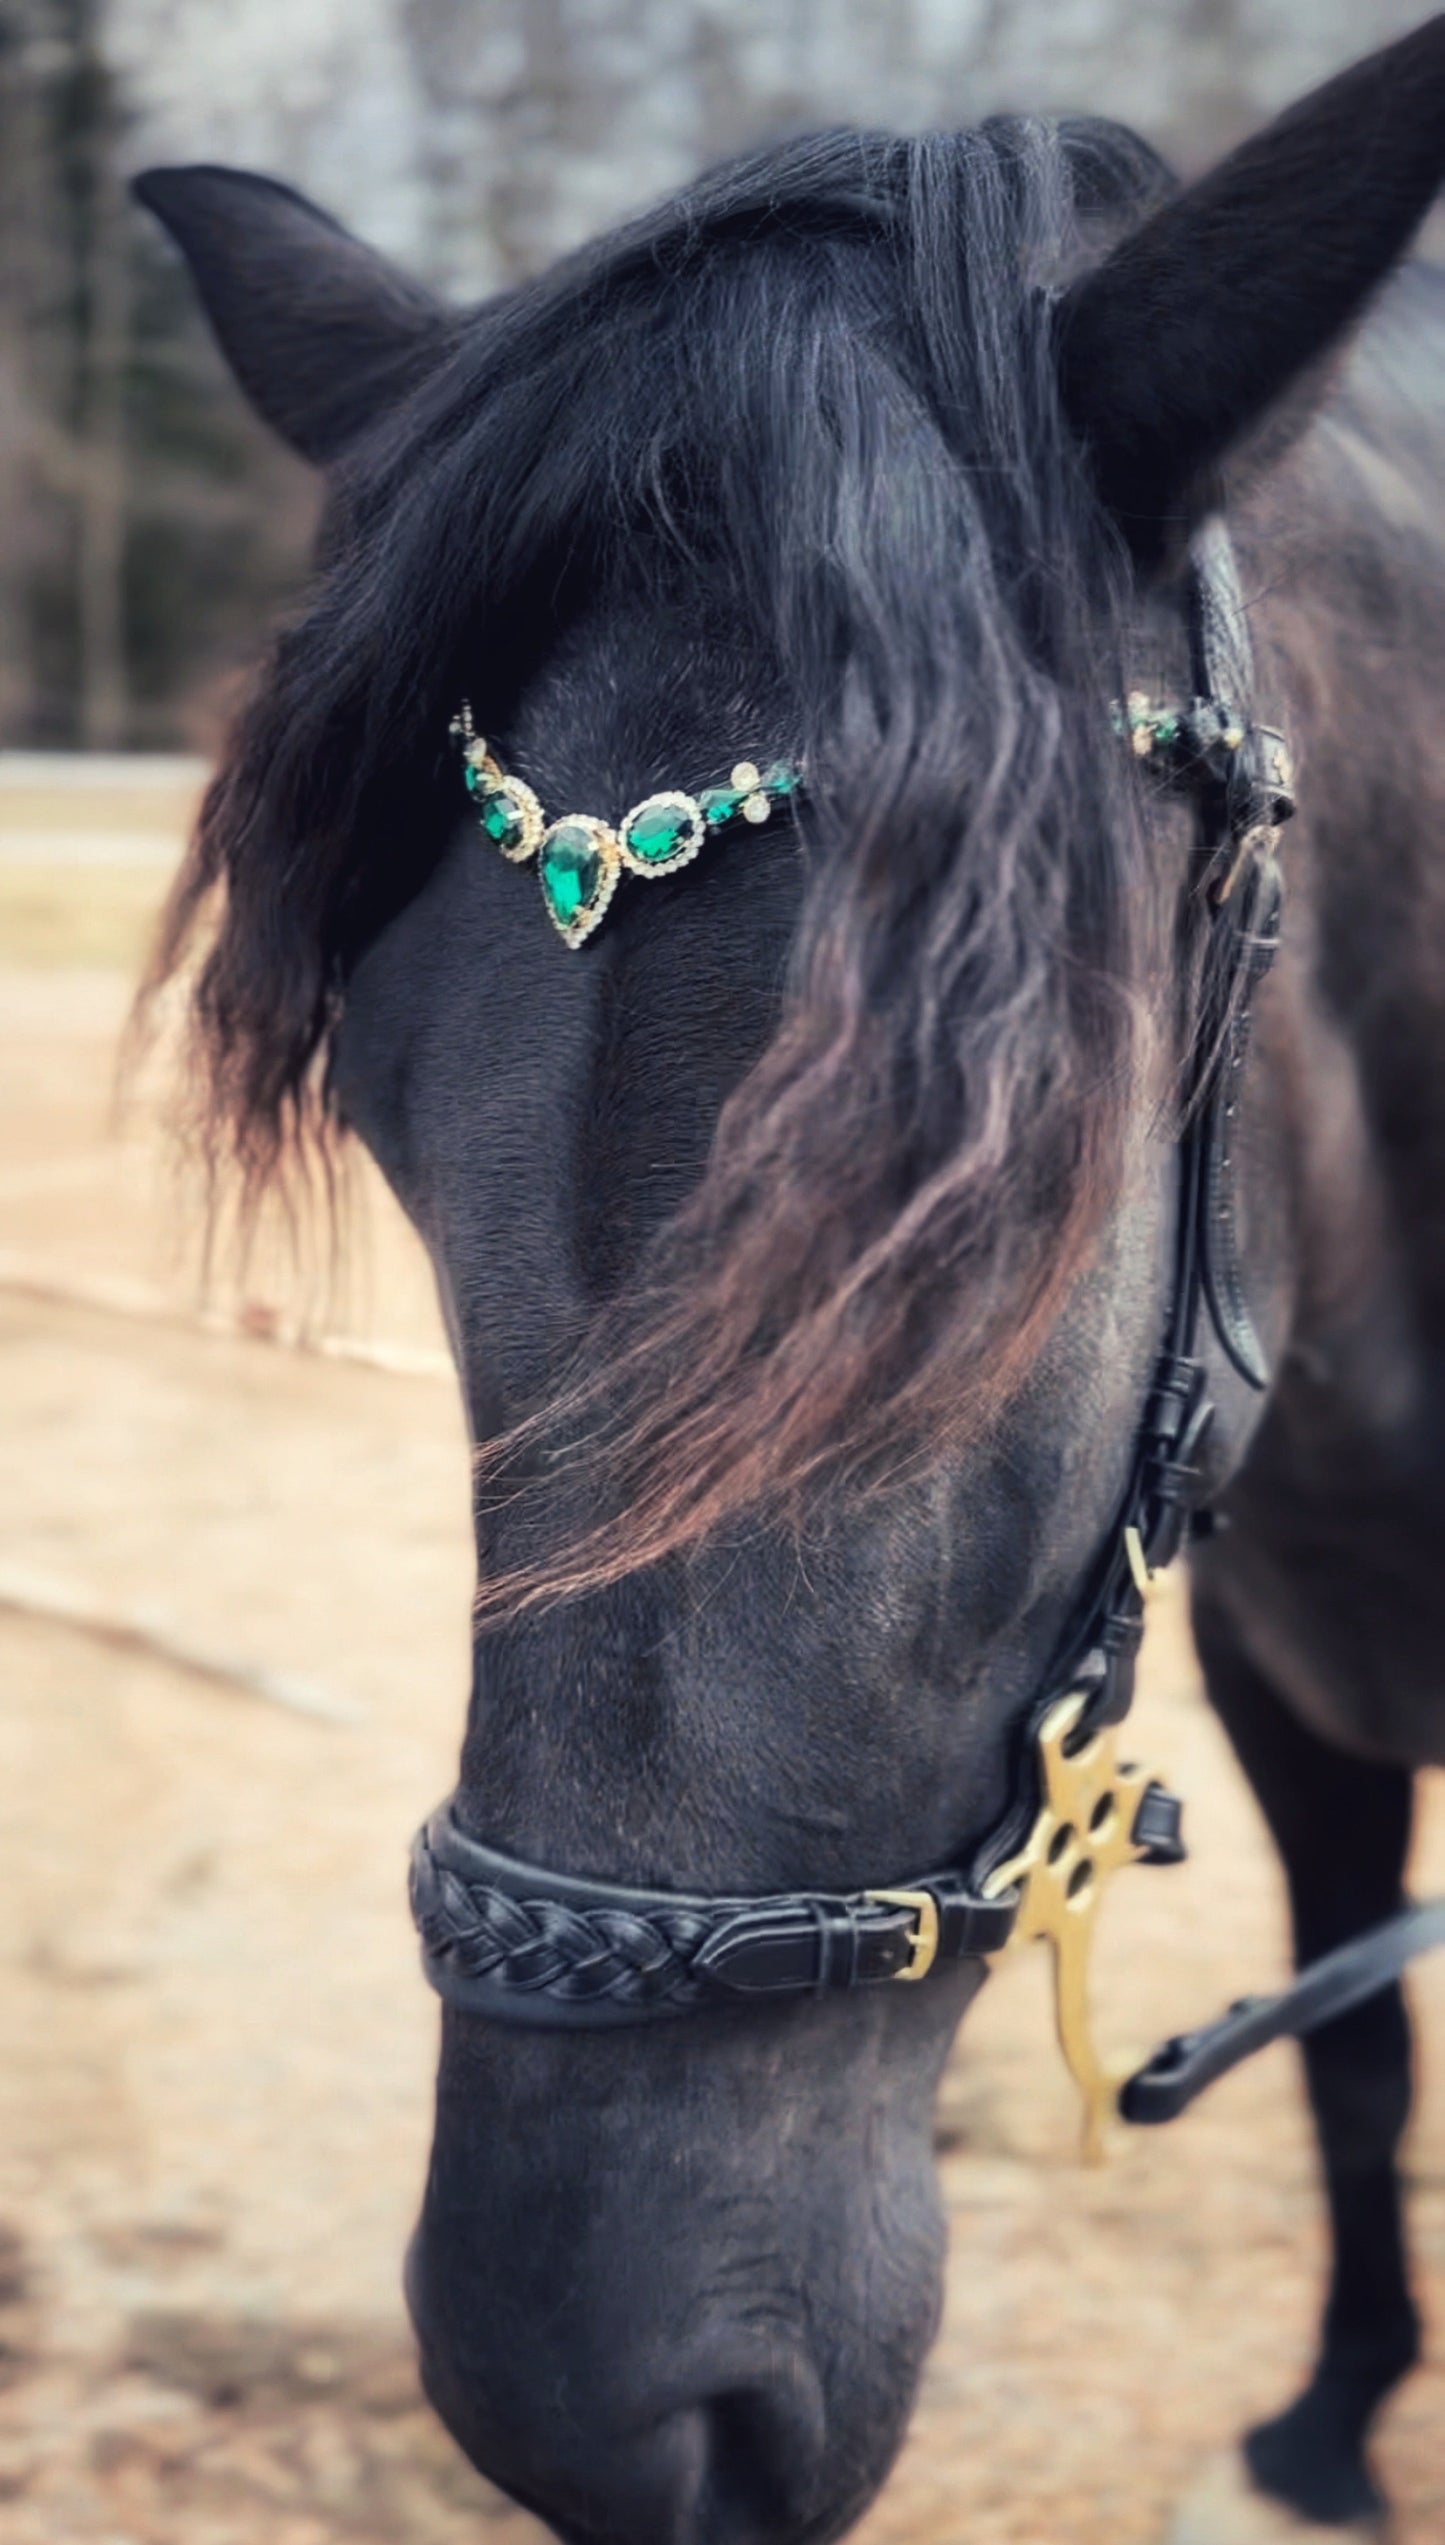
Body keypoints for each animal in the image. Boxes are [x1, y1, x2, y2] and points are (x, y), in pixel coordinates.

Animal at [141, 24, 1445, 2545]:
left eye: (999, 1185)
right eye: (383, 1119)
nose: (600, 2415)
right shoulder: (1293, 1693)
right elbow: (1359, 2058)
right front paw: (1338, 2415)